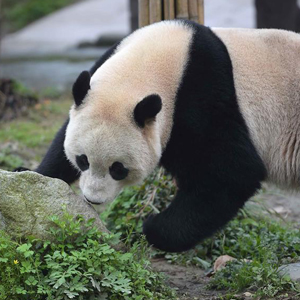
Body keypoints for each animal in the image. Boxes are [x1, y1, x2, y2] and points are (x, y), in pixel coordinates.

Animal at [22, 19, 300, 252]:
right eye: (83, 160)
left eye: (118, 169)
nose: (93, 199)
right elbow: (62, 140)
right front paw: (32, 176)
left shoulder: (205, 97)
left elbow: (232, 173)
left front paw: (152, 227)